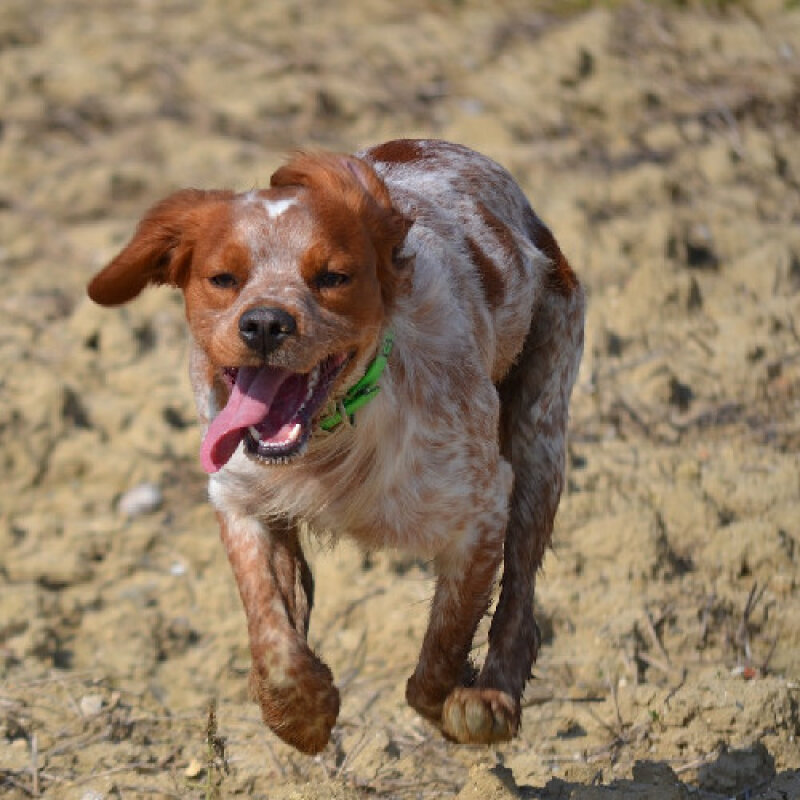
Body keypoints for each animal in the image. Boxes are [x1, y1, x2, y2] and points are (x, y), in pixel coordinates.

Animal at [88, 139, 584, 754]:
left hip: (541, 435)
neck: (331, 439)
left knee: (520, 596)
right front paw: (301, 710)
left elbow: (442, 648)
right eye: (223, 278)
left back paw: (493, 695)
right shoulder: (240, 500)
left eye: (332, 277)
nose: (265, 324)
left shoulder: (481, 510)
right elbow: (271, 630)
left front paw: (458, 698)